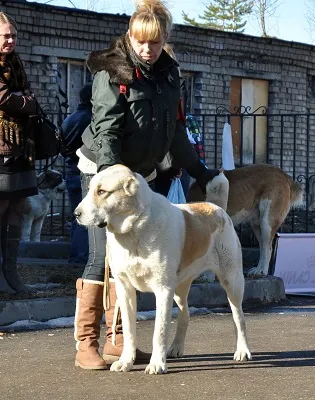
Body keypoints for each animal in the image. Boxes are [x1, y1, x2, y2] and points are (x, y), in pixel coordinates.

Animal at [74, 164, 252, 374]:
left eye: (101, 192)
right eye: (90, 189)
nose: (76, 214)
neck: (134, 229)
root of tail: (216, 209)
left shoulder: (163, 290)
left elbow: (159, 330)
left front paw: (156, 364)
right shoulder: (124, 289)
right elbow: (128, 329)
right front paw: (126, 361)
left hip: (232, 281)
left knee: (239, 317)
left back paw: (242, 351)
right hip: (180, 288)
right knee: (185, 314)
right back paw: (175, 348)